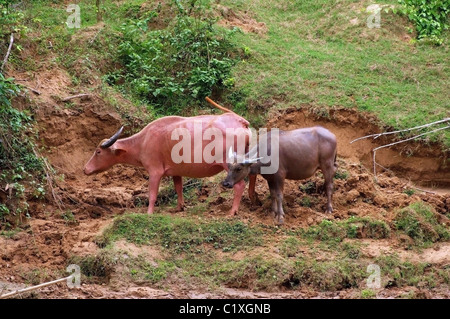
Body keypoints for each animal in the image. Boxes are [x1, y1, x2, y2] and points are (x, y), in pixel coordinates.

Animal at [84, 99, 253, 216]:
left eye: (98, 151)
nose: (85, 169)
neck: (143, 141)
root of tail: (239, 120)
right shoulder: (176, 172)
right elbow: (178, 188)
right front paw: (179, 207)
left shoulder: (155, 172)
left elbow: (152, 194)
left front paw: (149, 213)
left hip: (230, 164)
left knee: (239, 185)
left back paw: (232, 211)